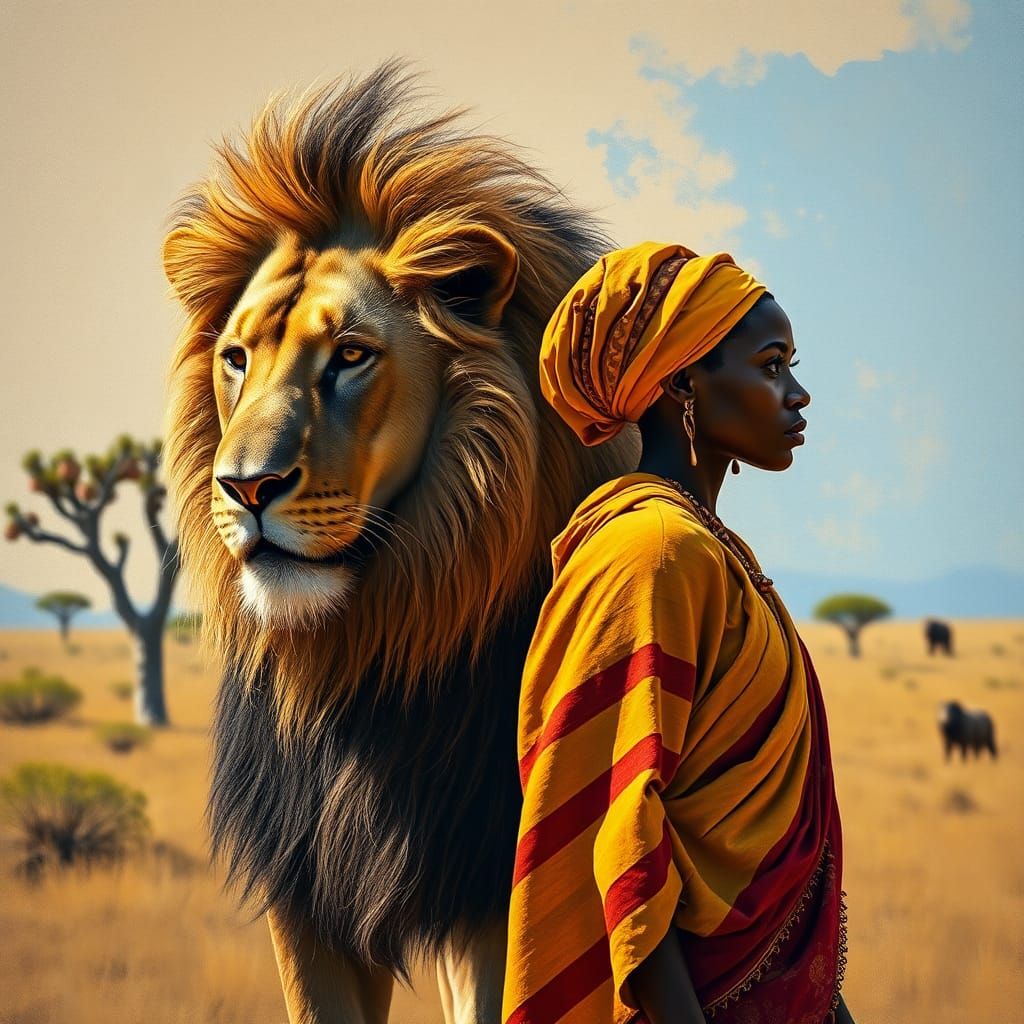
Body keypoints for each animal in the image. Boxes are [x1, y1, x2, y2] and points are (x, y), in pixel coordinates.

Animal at [163, 63, 636, 1023]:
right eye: (236, 358)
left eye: (349, 355)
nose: (246, 487)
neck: (361, 664)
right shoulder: (305, 891)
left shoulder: (492, 883)